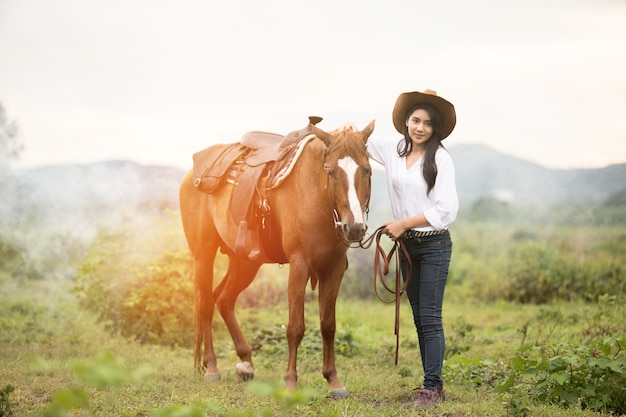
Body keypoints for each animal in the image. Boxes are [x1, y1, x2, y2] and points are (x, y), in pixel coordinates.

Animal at [179, 117, 376, 396]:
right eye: (330, 171)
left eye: (367, 170)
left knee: (224, 300)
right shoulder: (299, 264)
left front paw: (334, 382)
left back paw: (245, 363)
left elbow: (328, 325)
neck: (316, 193)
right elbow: (295, 327)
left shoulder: (334, 268)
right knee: (206, 302)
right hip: (203, 253)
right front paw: (291, 381)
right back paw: (212, 367)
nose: (355, 228)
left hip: (245, 262)